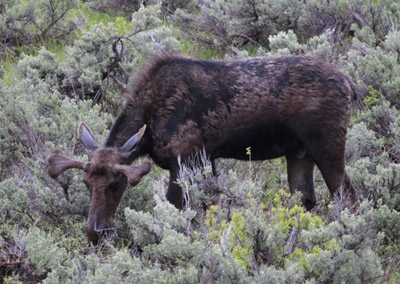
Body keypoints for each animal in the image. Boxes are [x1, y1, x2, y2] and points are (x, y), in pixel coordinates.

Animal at [47, 53, 360, 244]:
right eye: (86, 183)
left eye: (116, 184)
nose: (95, 232)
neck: (149, 121)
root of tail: (350, 85)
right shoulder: (205, 160)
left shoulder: (186, 160)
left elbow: (178, 213)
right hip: (298, 152)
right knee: (304, 201)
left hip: (327, 145)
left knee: (348, 197)